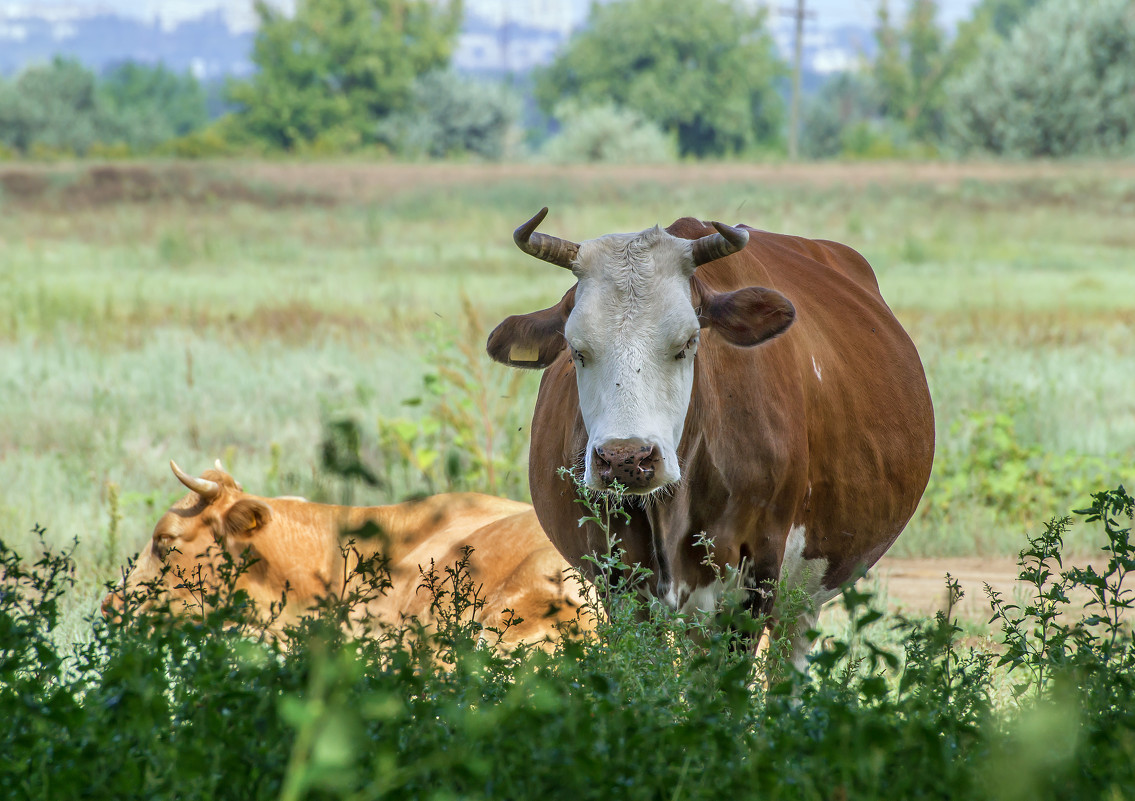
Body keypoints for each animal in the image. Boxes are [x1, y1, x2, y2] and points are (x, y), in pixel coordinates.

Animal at [483, 208, 935, 662]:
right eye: (576, 350)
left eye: (687, 342)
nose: (625, 459)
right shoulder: (620, 581)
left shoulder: (756, 577)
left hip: (803, 597)